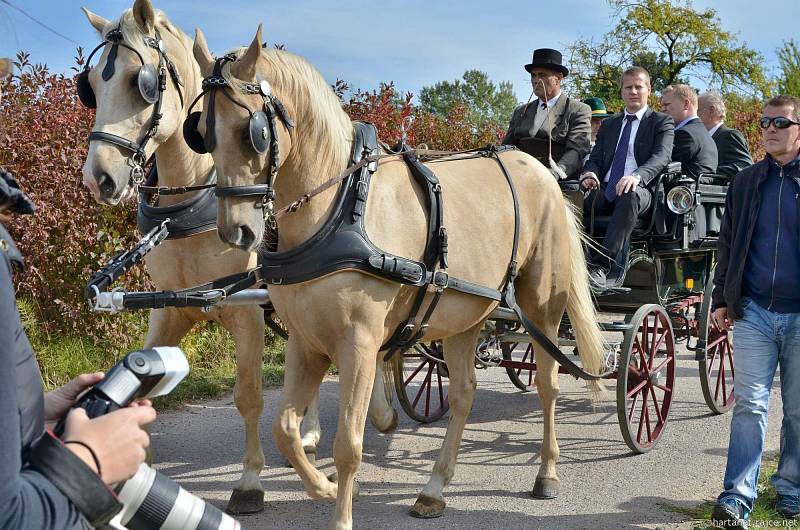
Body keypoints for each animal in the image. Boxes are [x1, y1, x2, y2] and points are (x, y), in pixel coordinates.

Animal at [192, 26, 608, 524]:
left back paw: (547, 472)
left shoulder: (359, 342)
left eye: (251, 132)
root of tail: (542, 170)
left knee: (547, 386)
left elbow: (348, 445)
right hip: (465, 315)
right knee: (464, 393)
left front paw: (341, 514)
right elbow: (286, 430)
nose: (236, 231)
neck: (340, 206)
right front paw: (323, 487)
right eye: (202, 134)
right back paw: (433, 488)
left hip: (541, 308)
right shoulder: (306, 341)